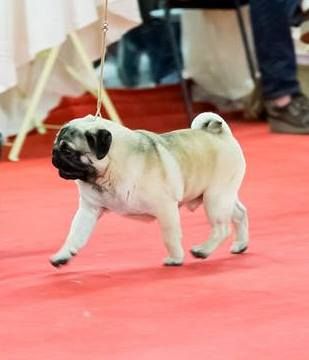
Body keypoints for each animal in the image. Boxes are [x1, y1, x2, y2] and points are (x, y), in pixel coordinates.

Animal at [50, 112, 248, 268]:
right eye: (55, 146)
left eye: (68, 151)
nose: (54, 155)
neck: (108, 172)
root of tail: (221, 134)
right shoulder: (89, 210)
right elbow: (75, 235)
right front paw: (63, 255)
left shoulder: (166, 209)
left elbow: (170, 237)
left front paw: (175, 259)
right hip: (222, 197)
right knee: (239, 213)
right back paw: (240, 245)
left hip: (215, 198)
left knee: (221, 229)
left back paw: (203, 250)